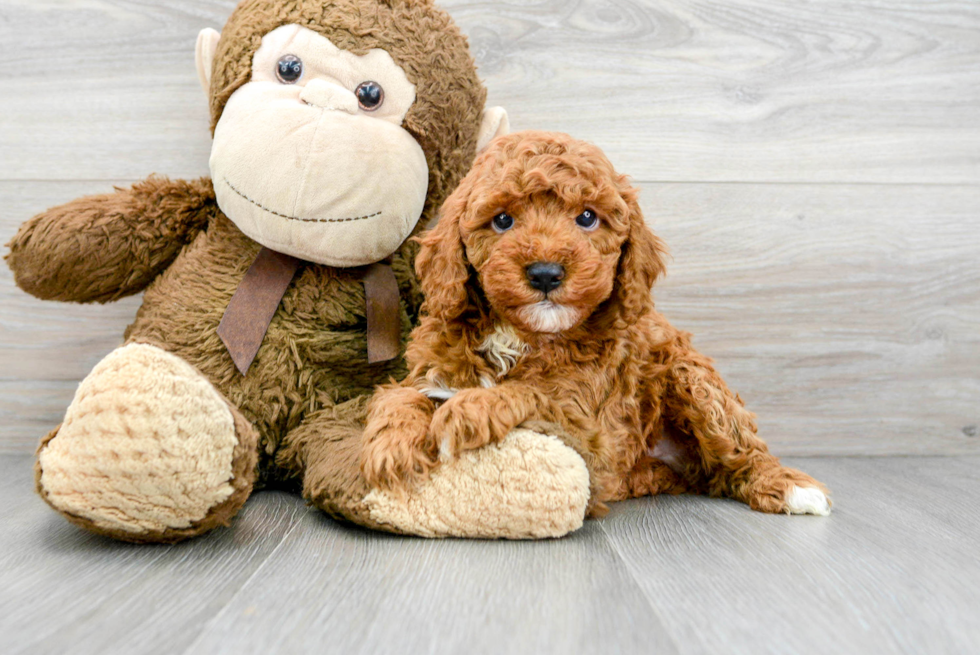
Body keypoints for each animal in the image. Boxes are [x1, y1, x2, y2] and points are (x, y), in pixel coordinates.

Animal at [364, 132, 832, 516]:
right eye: (502, 220)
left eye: (587, 218)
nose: (546, 274)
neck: (521, 335)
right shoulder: (431, 368)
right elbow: (399, 395)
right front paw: (391, 448)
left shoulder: (589, 425)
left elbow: (532, 392)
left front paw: (466, 411)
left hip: (693, 379)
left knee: (740, 451)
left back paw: (790, 487)